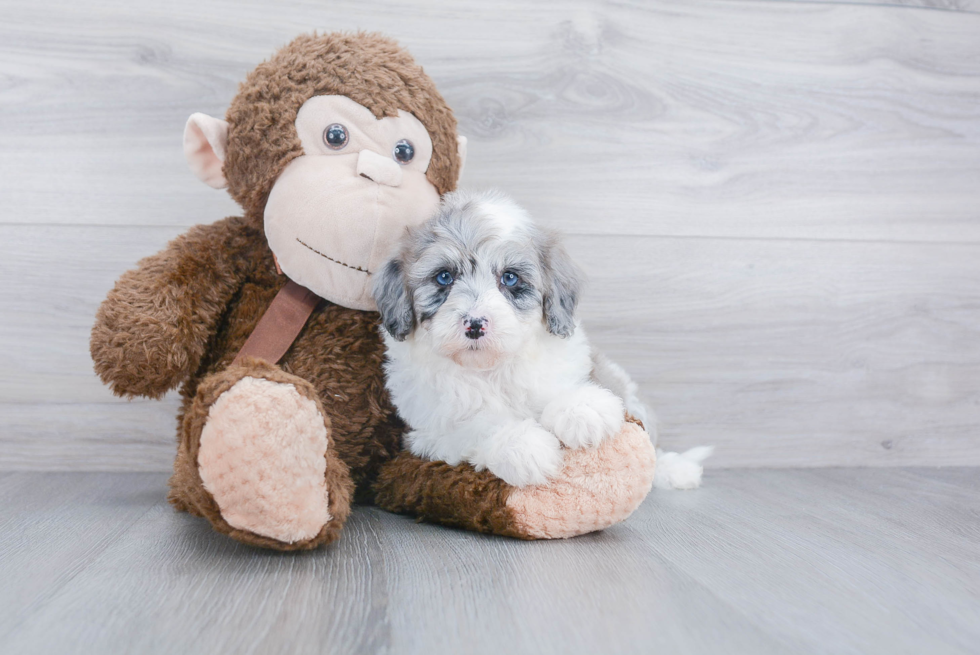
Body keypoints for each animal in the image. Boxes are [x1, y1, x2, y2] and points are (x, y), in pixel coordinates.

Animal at [370, 190, 636, 486]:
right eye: (444, 277)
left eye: (510, 278)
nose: (475, 325)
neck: (491, 370)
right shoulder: (427, 434)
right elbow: (476, 426)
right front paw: (522, 446)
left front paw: (582, 408)